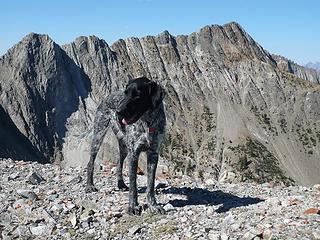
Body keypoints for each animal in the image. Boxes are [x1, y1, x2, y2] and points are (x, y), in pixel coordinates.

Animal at [85, 77, 166, 216]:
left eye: (137, 95)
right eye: (126, 93)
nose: (118, 112)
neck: (147, 123)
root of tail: (108, 96)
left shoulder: (153, 154)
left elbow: (150, 185)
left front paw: (153, 205)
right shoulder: (134, 153)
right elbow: (133, 184)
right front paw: (133, 206)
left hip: (124, 145)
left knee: (119, 162)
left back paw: (121, 184)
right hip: (99, 134)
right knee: (91, 162)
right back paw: (90, 185)